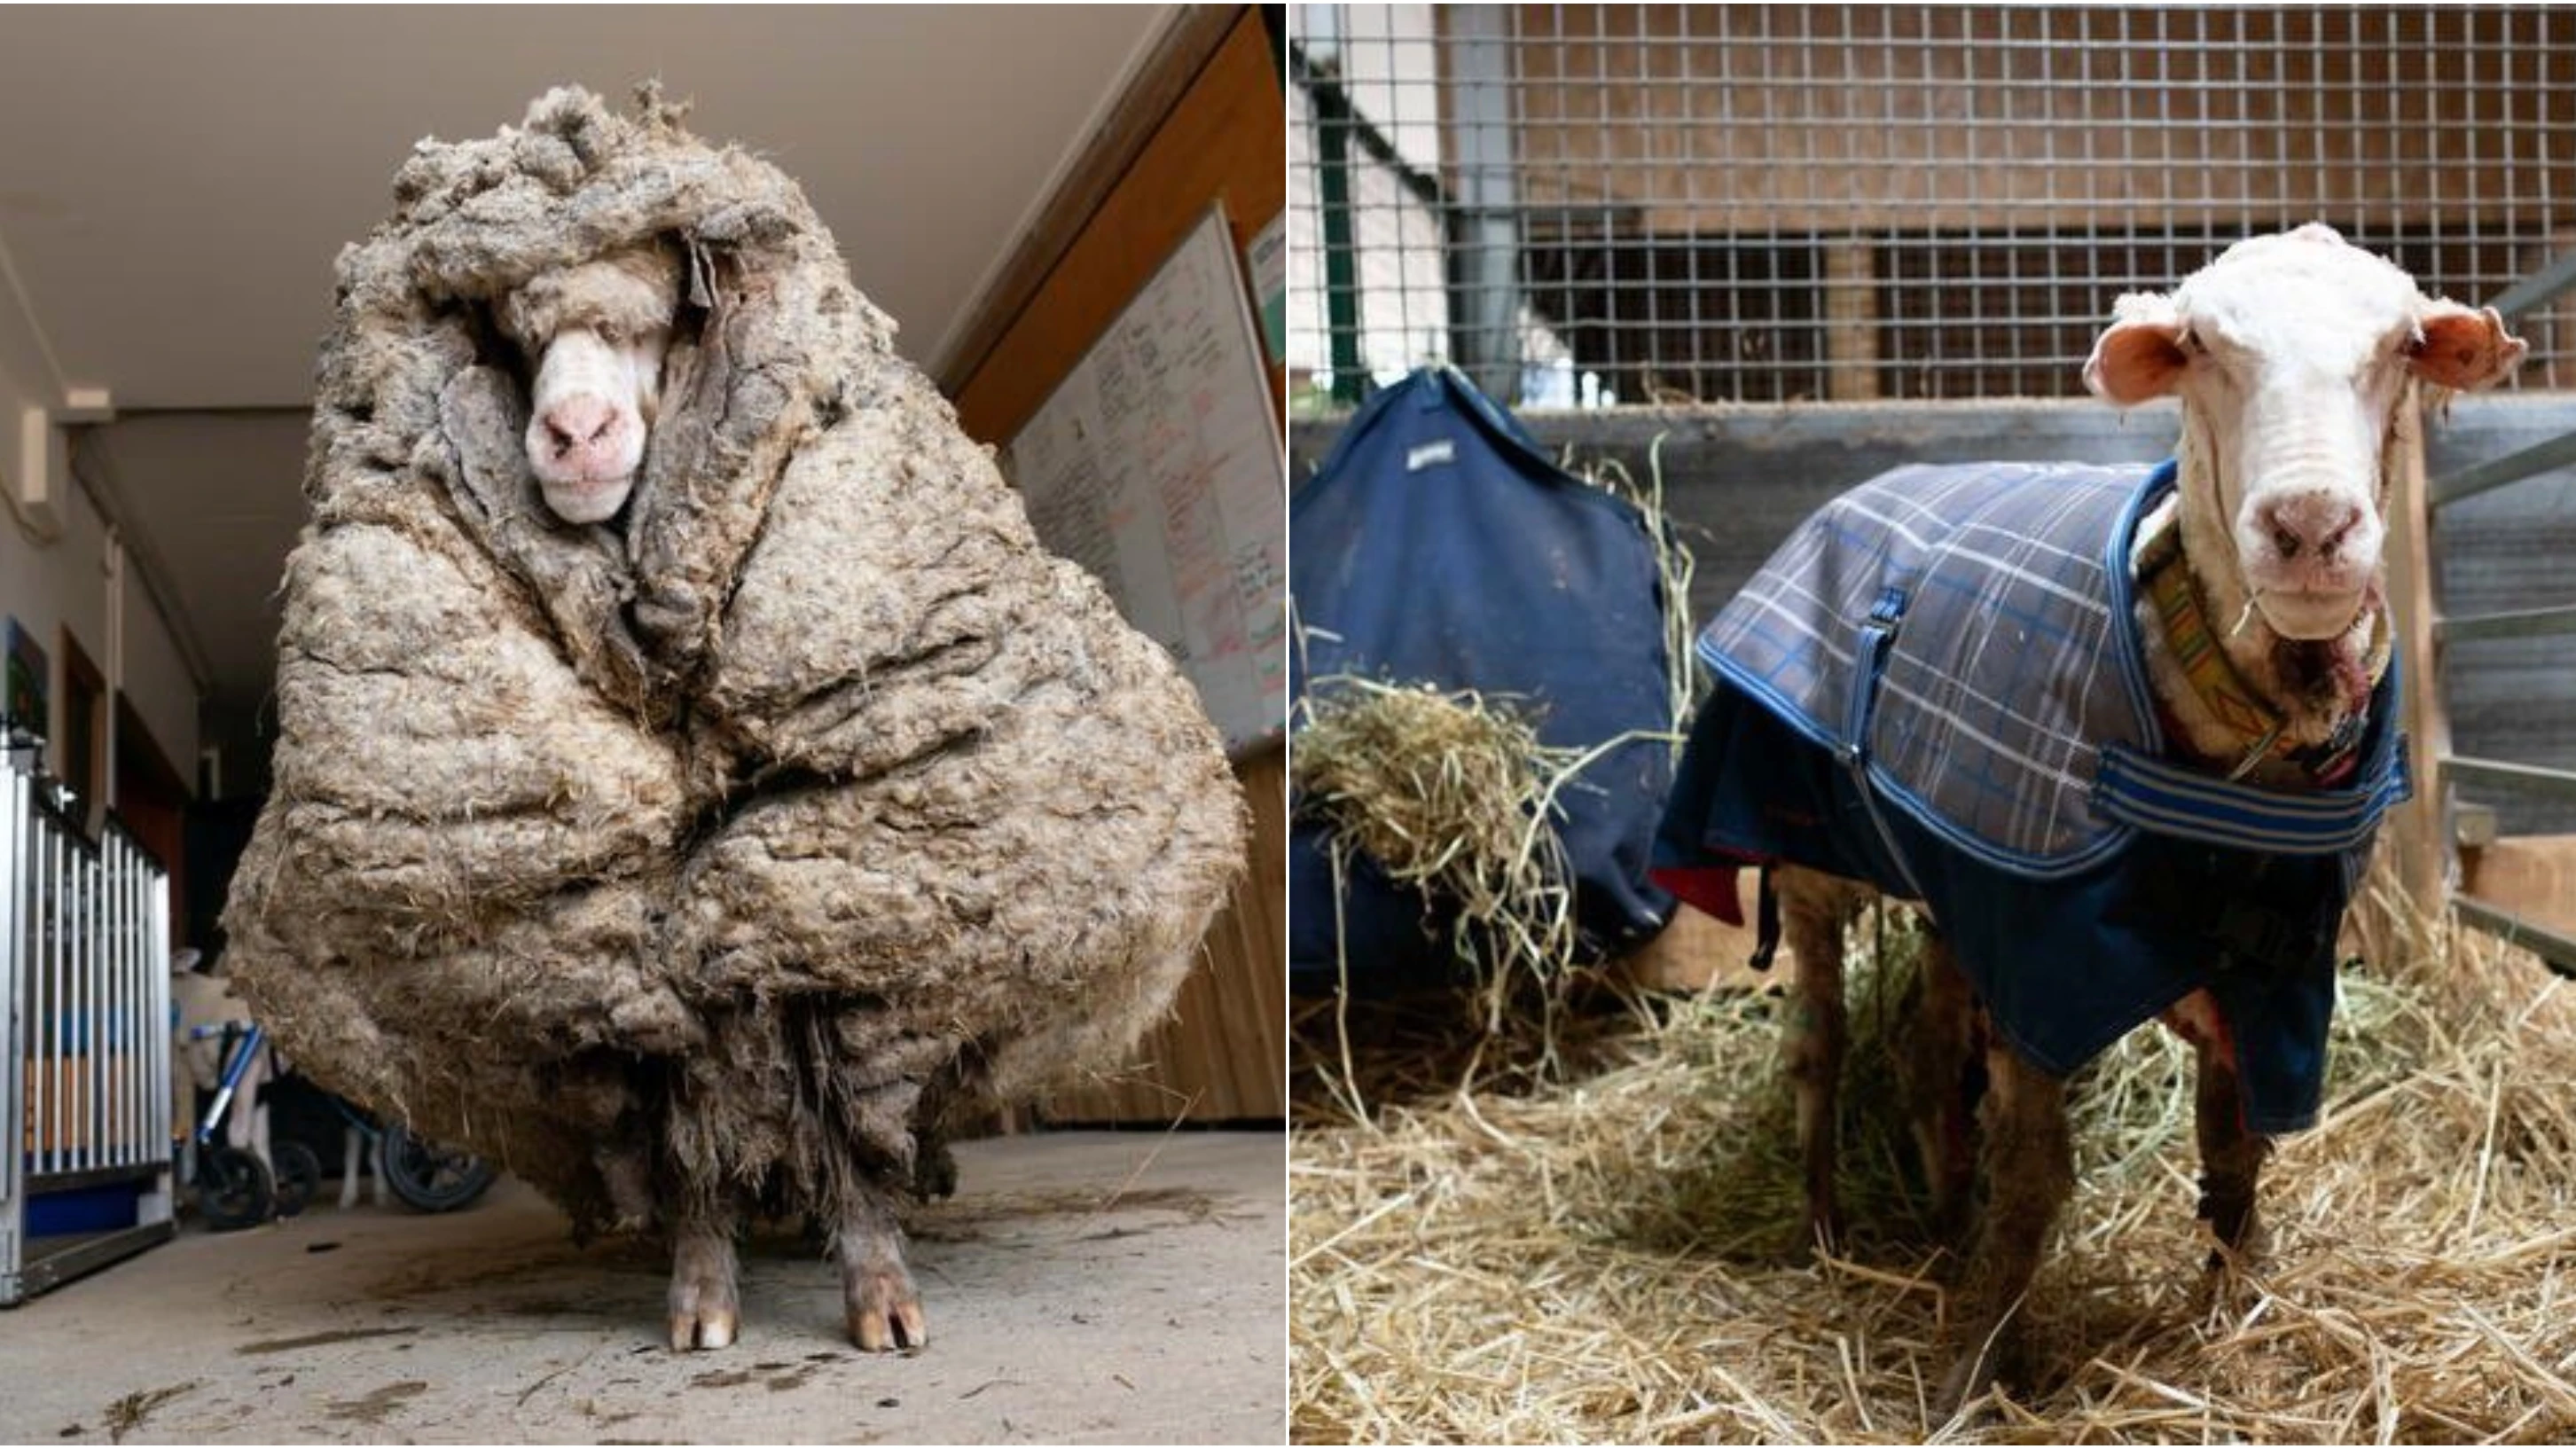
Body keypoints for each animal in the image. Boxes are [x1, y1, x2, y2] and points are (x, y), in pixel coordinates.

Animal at [1654, 225, 2524, 1414]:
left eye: (2399, 345)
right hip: (1809, 863)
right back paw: (1826, 1228)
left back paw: (1943, 1221)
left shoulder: (2270, 967)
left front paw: (2234, 1311)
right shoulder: (2041, 956)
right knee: (1817, 1042)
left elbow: (2232, 1153)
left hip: (1949, 897)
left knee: (1926, 1051)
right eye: (2202, 347)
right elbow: (2035, 1176)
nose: (2307, 526)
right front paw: (1976, 1371)